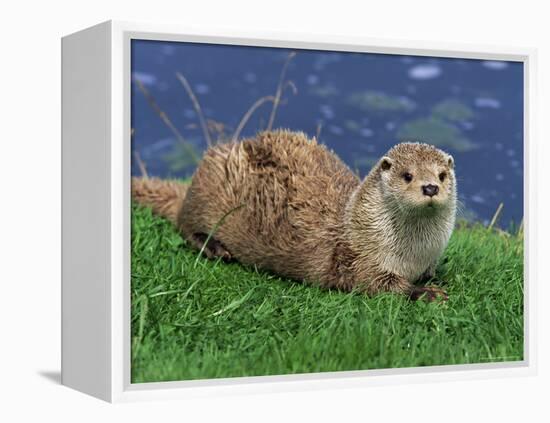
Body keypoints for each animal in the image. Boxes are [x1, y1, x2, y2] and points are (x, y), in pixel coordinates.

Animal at [133, 130, 458, 302]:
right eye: (407, 175)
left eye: (442, 175)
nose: (430, 186)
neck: (413, 255)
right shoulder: (360, 259)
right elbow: (379, 285)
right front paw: (428, 293)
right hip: (209, 187)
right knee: (184, 224)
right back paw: (215, 247)